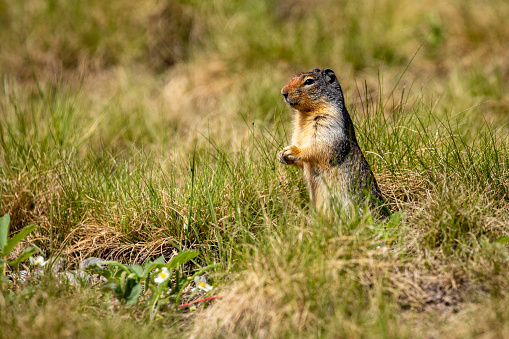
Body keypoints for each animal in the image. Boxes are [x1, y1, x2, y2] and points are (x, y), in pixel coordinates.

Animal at [278, 68, 384, 216]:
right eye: (294, 76)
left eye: (309, 81)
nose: (283, 92)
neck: (305, 115)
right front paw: (281, 154)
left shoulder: (329, 122)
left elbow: (319, 146)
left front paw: (292, 150)